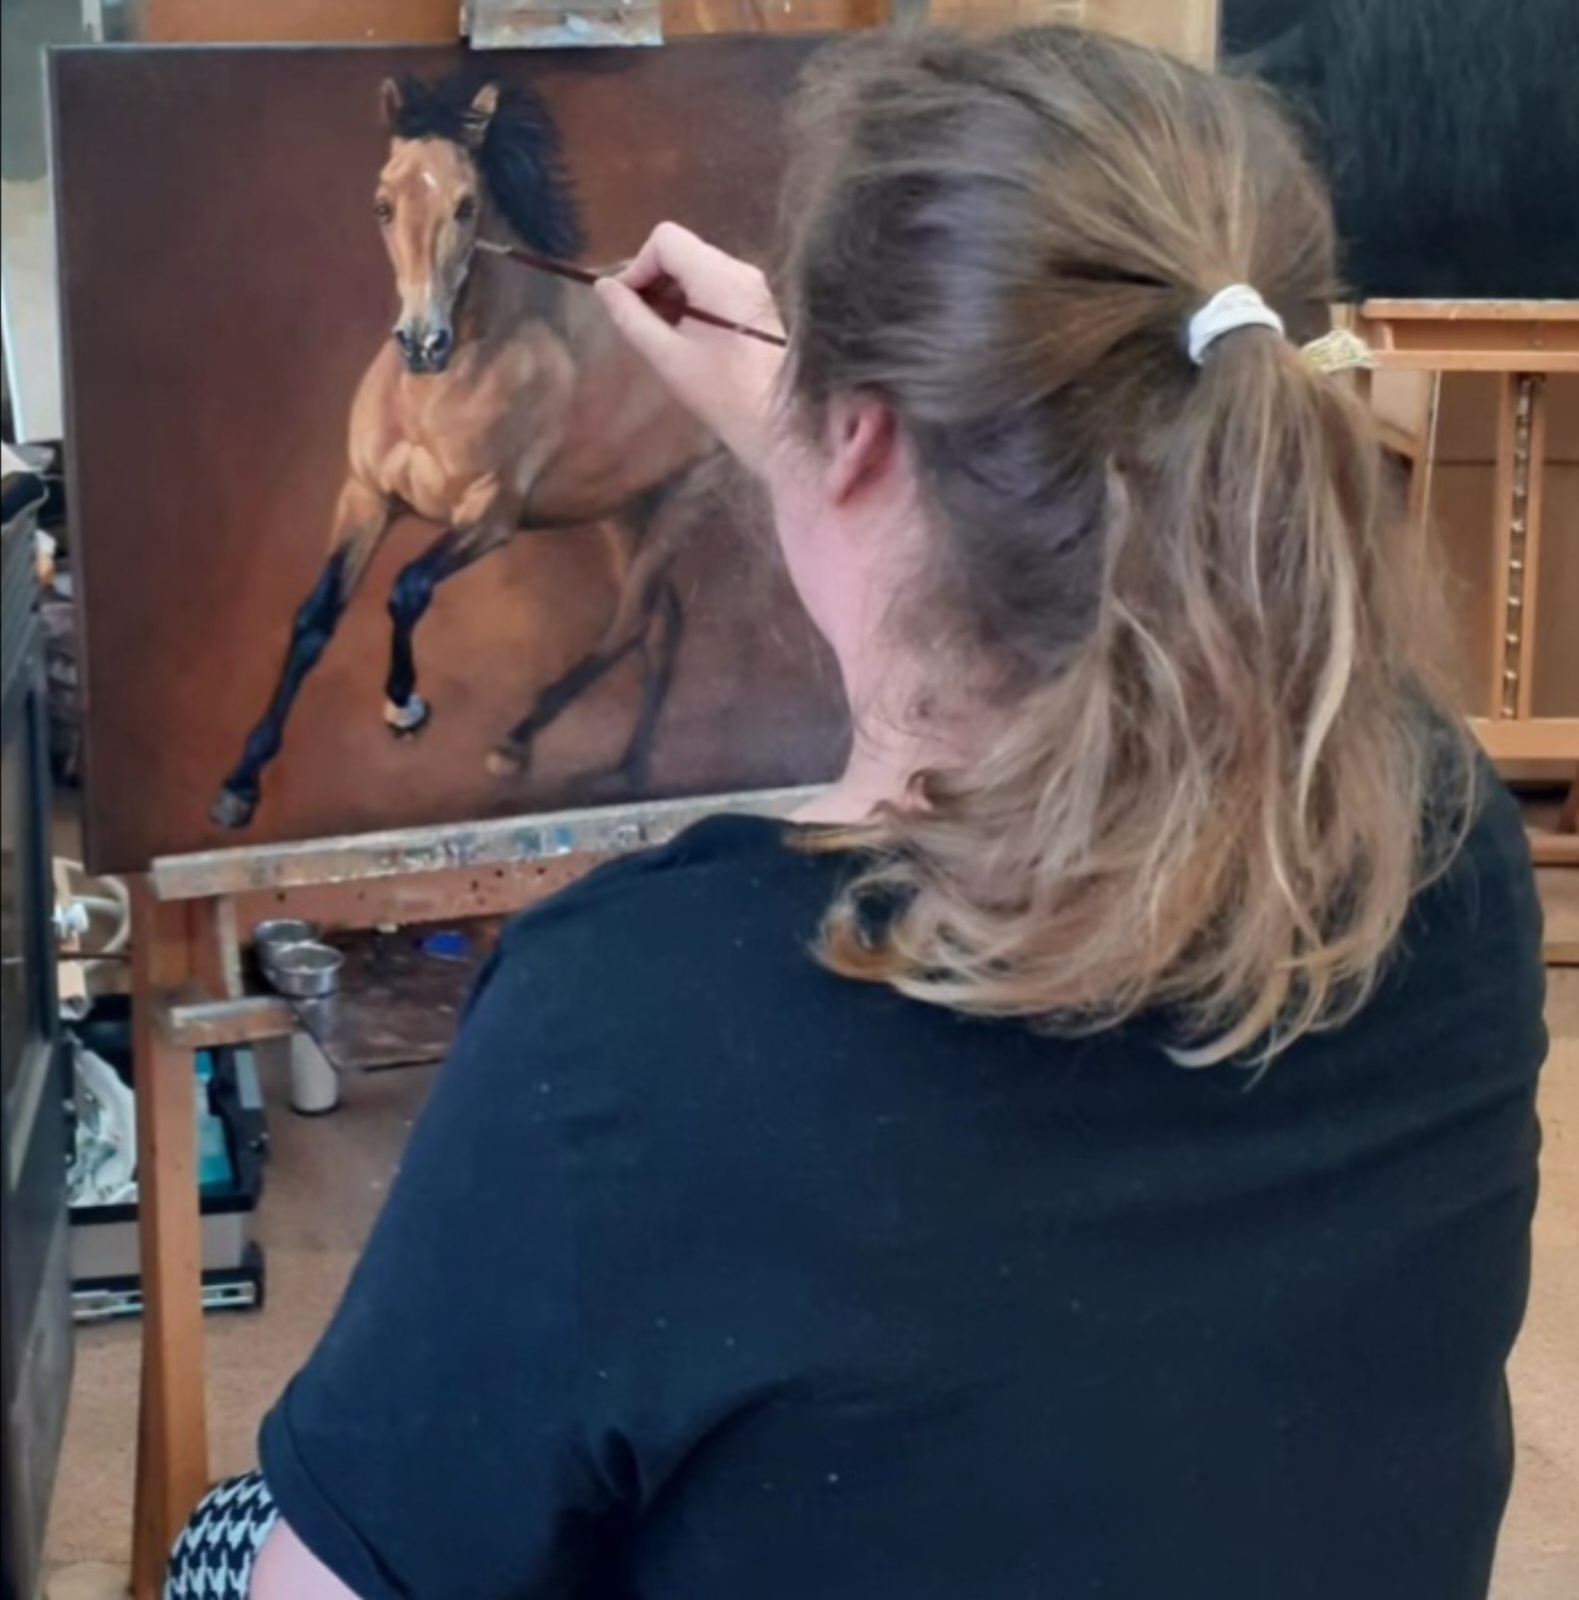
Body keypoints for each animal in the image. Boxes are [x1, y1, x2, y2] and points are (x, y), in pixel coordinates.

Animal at [210, 73, 716, 830]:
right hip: (625, 507)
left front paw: (405, 707)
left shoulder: (489, 518)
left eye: (467, 205)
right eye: (383, 205)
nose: (423, 343)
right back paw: (626, 772)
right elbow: (313, 620)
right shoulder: (366, 498)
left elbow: (407, 588)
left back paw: (517, 742)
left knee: (631, 622)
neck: (444, 386)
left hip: (688, 495)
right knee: (660, 626)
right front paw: (241, 783)